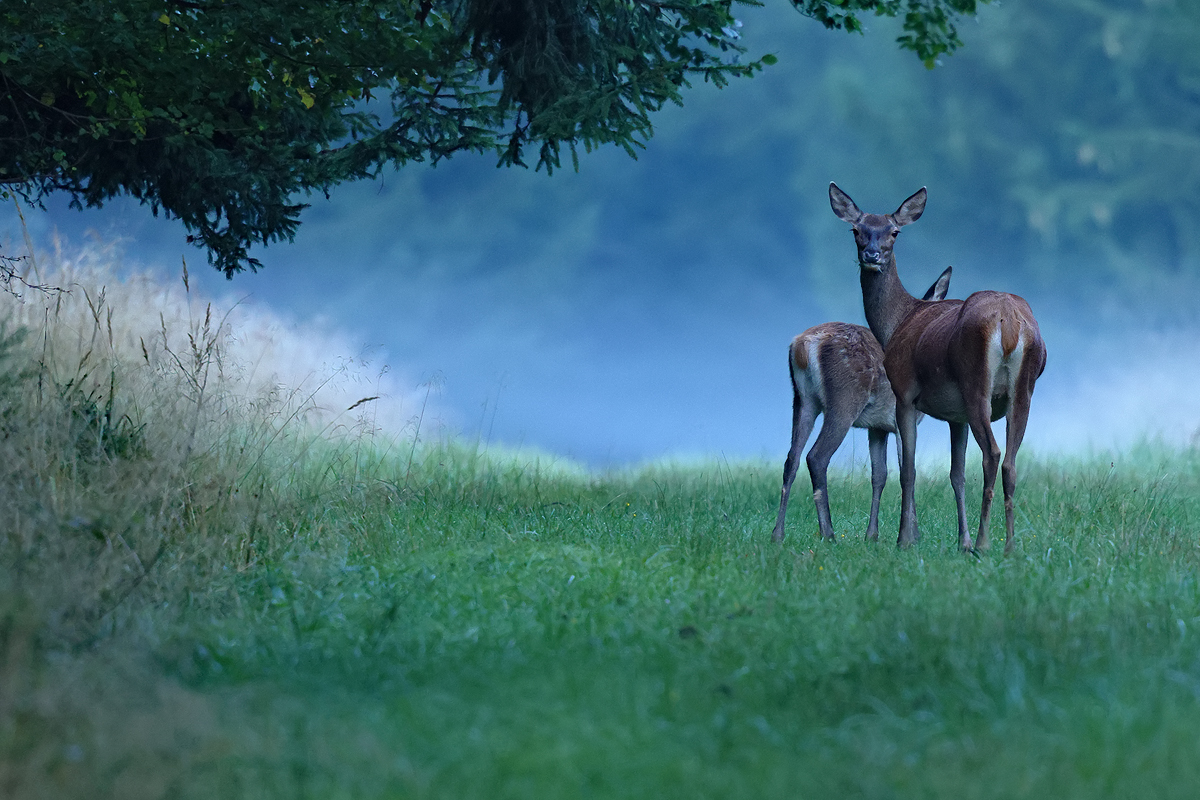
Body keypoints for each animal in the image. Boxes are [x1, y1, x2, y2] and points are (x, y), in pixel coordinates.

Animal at [768, 266, 955, 542]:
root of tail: (804, 345)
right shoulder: (901, 420)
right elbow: (907, 470)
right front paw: (913, 535)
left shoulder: (878, 427)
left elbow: (880, 475)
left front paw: (872, 535)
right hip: (844, 399)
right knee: (816, 457)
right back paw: (829, 534)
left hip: (802, 400)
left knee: (791, 459)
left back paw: (777, 534)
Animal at [830, 183, 1046, 554]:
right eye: (856, 230)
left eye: (894, 231)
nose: (872, 255)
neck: (898, 321)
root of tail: (1010, 323)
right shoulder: (955, 417)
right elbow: (956, 475)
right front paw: (961, 540)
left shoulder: (905, 392)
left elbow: (908, 470)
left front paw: (904, 539)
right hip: (1024, 390)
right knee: (1011, 461)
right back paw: (1009, 545)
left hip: (976, 383)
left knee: (992, 454)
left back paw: (985, 542)